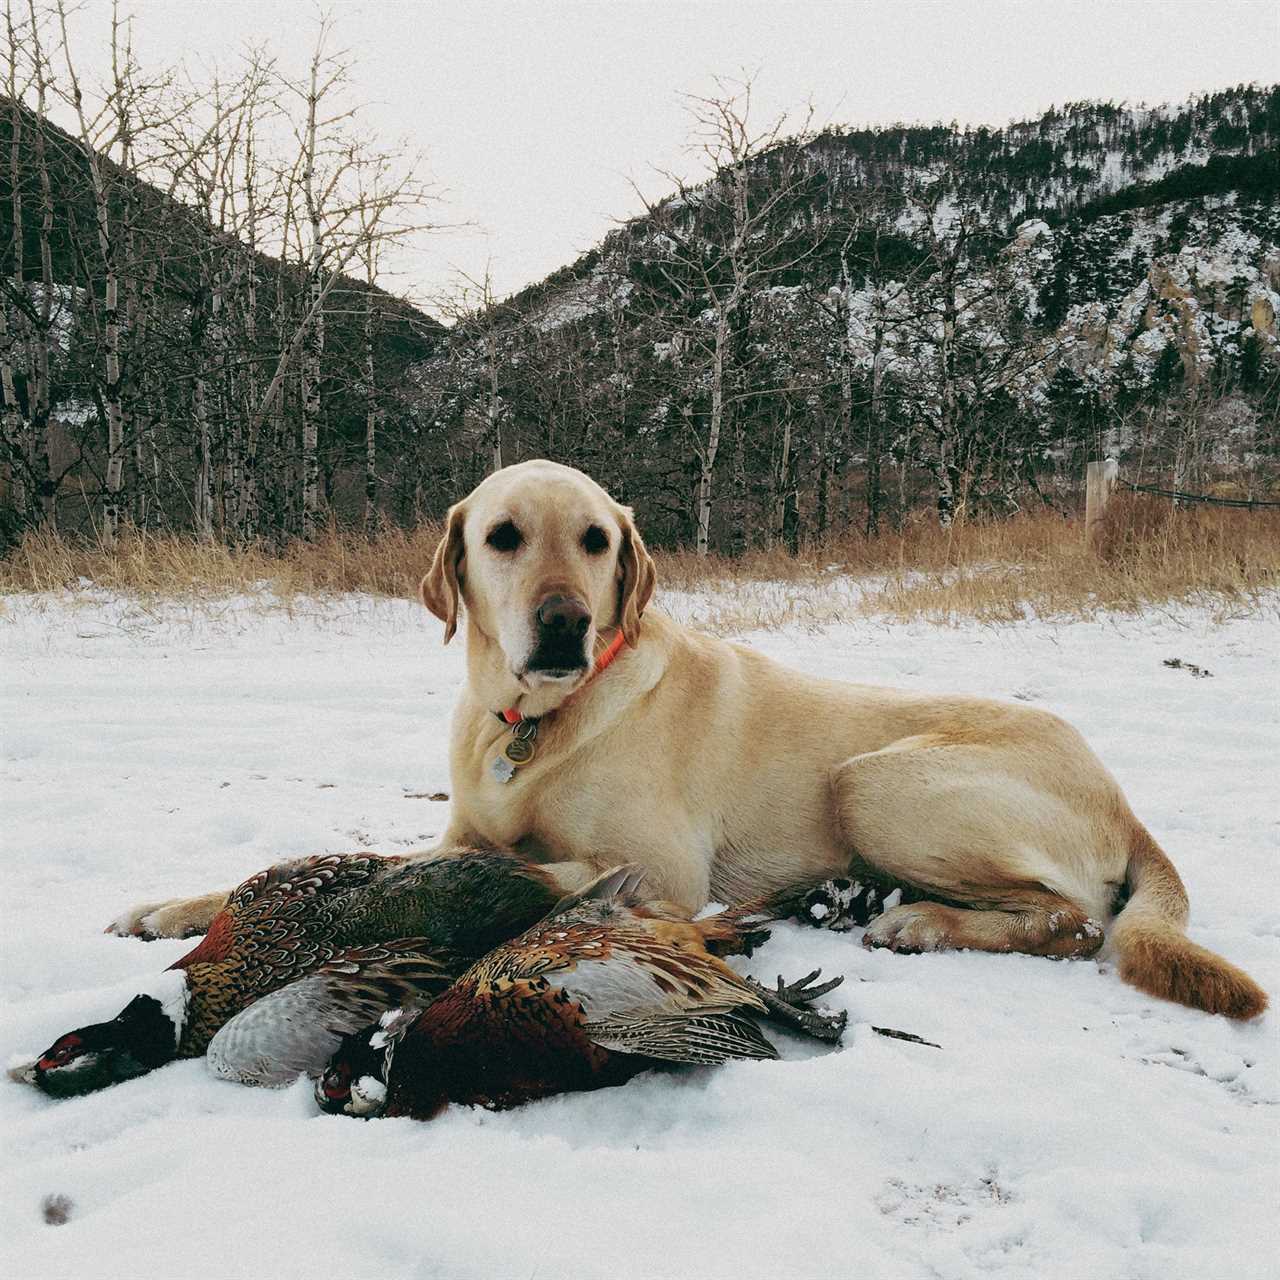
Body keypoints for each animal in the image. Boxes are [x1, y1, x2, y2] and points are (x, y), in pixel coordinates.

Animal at [115, 460, 1264, 1018]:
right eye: (502, 536)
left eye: (596, 540)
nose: (567, 623)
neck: (534, 723)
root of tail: (1120, 794)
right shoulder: (450, 837)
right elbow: (336, 862)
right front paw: (171, 906)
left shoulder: (660, 865)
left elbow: (554, 871)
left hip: (874, 780)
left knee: (1075, 918)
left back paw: (919, 920)